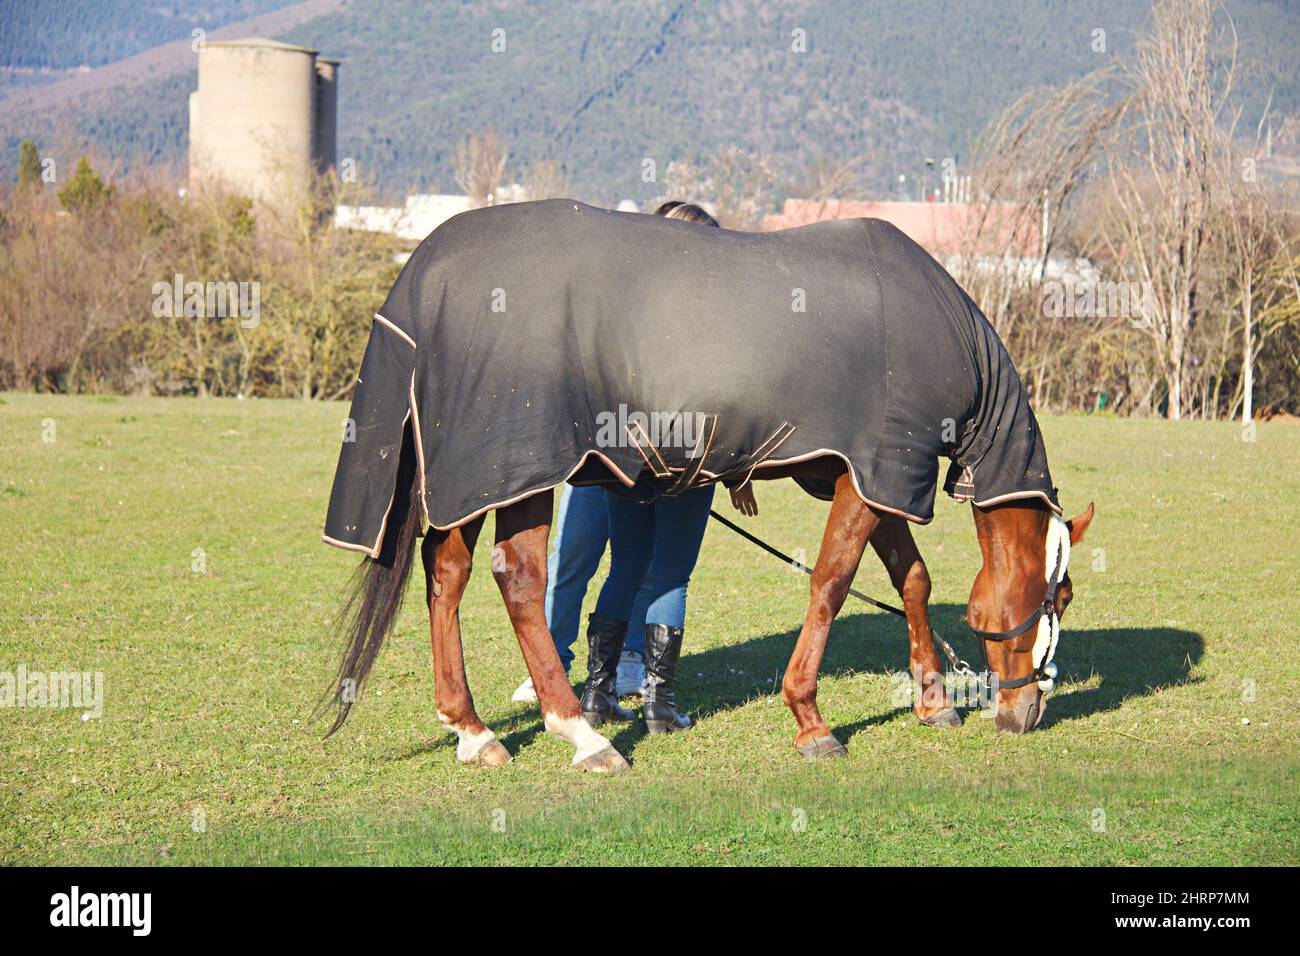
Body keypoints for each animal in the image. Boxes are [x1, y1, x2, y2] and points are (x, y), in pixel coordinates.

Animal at [319, 199, 1094, 771]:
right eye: (1059, 597)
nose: (1028, 713)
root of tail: (423, 275)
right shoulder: (878, 471)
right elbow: (833, 582)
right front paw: (810, 718)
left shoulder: (878, 477)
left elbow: (914, 580)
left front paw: (934, 699)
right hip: (516, 471)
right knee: (520, 580)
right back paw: (581, 733)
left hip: (471, 483)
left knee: (446, 572)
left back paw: (473, 729)